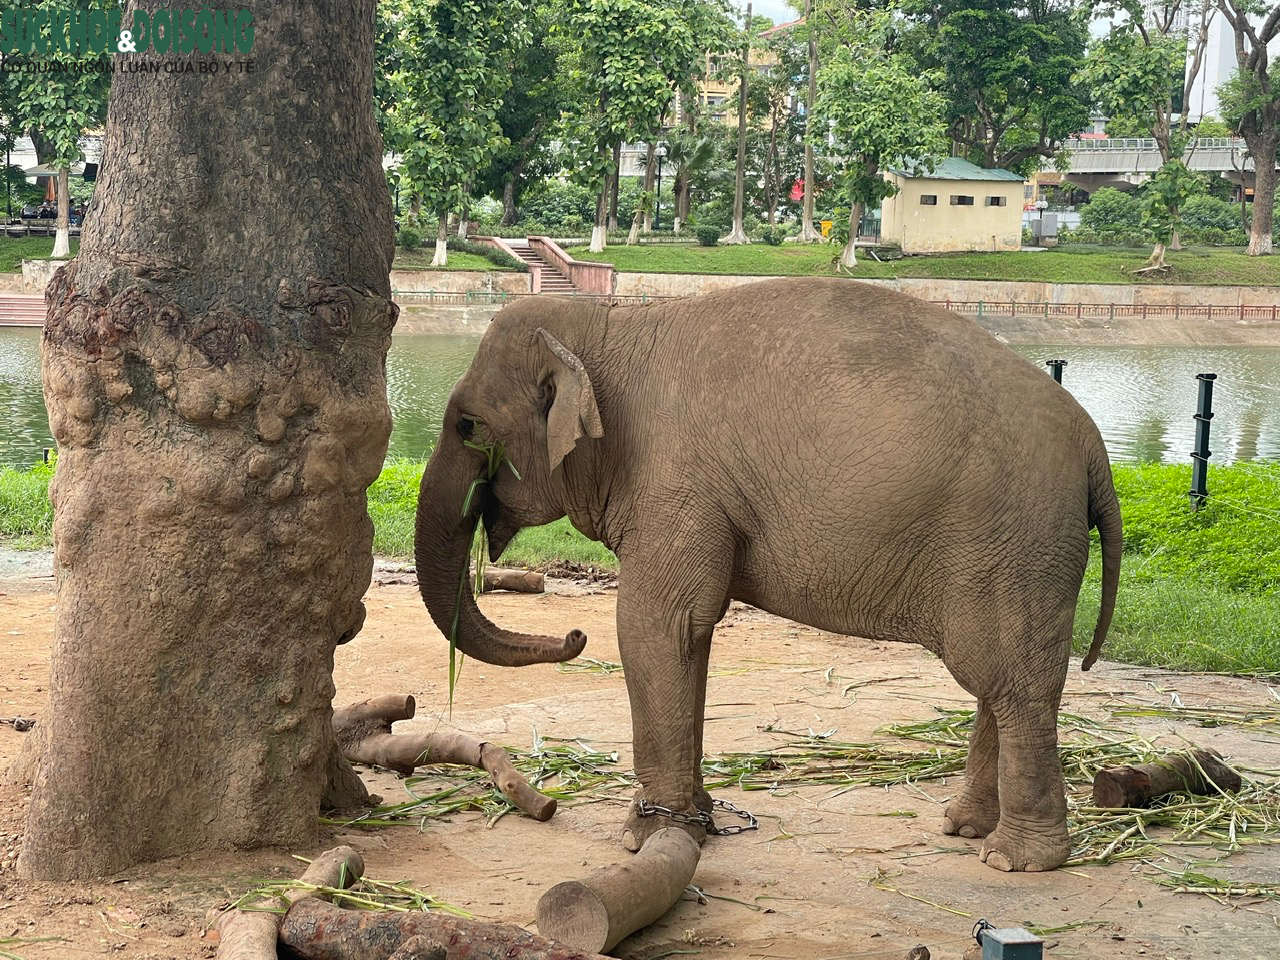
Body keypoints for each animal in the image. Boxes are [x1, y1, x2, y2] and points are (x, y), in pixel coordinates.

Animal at [412, 276, 1121, 870]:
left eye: (468, 425)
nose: (571, 637)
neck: (611, 323)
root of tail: (1093, 446)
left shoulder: (674, 484)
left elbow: (656, 626)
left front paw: (646, 837)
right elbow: (689, 634)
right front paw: (697, 821)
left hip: (1015, 537)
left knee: (1010, 682)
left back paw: (1017, 860)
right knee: (998, 681)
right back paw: (966, 828)